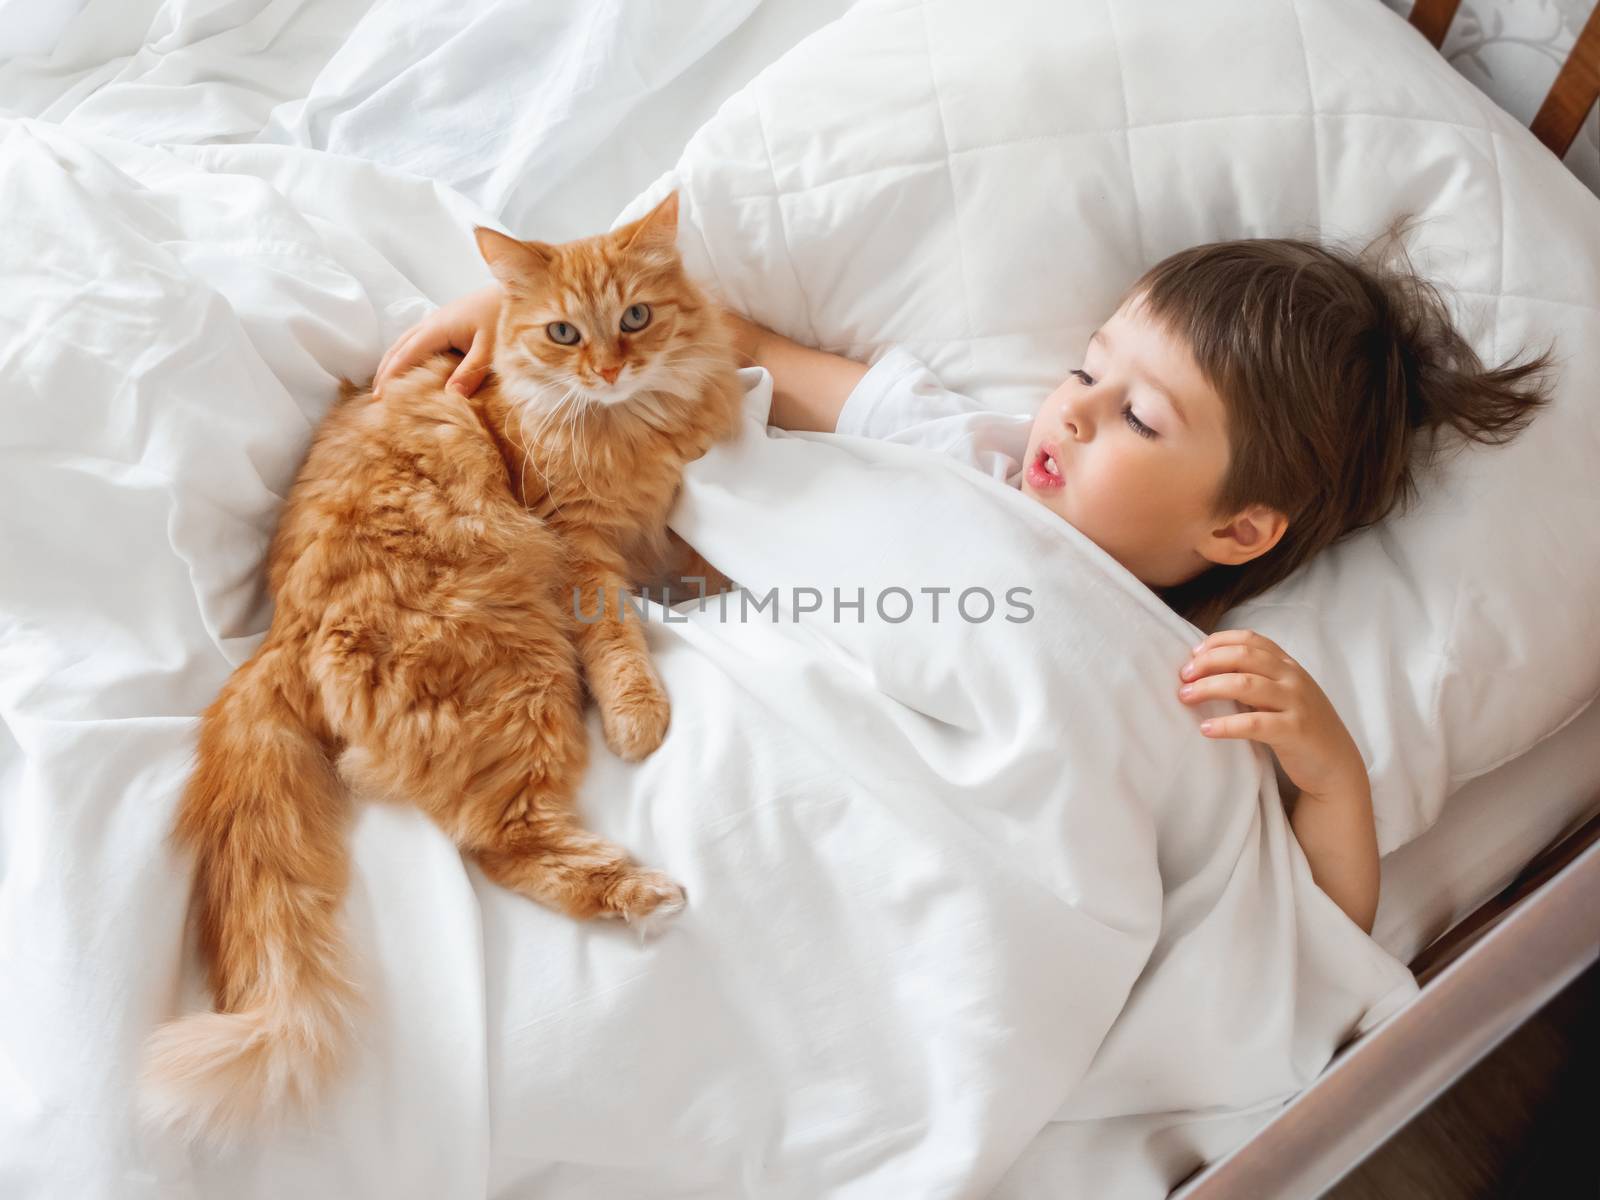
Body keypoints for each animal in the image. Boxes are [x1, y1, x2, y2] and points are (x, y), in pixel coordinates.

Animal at [144, 192, 742, 1139]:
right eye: (565, 333)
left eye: (636, 319)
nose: (610, 368)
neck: (621, 424)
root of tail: (282, 632)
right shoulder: (579, 545)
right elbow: (620, 640)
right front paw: (639, 712)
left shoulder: (658, 517)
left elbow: (692, 558)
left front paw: (714, 585)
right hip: (521, 669)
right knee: (503, 842)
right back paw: (644, 896)